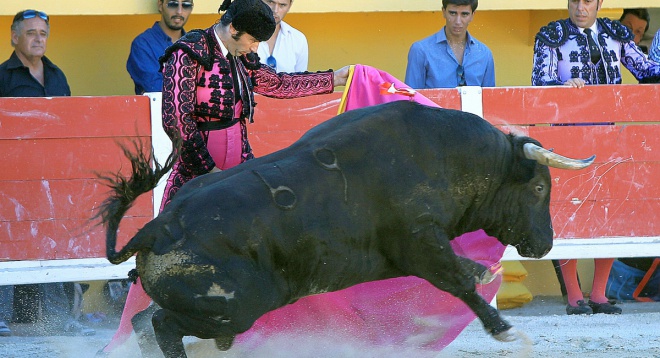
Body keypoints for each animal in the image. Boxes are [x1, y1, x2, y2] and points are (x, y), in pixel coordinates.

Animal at [100, 100, 596, 356]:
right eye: (538, 187)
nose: (546, 243)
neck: (445, 154)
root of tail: (158, 227)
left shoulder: (412, 253)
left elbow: (464, 274)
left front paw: (485, 272)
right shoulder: (420, 242)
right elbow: (458, 283)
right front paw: (506, 330)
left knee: (144, 321)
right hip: (234, 309)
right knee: (161, 323)